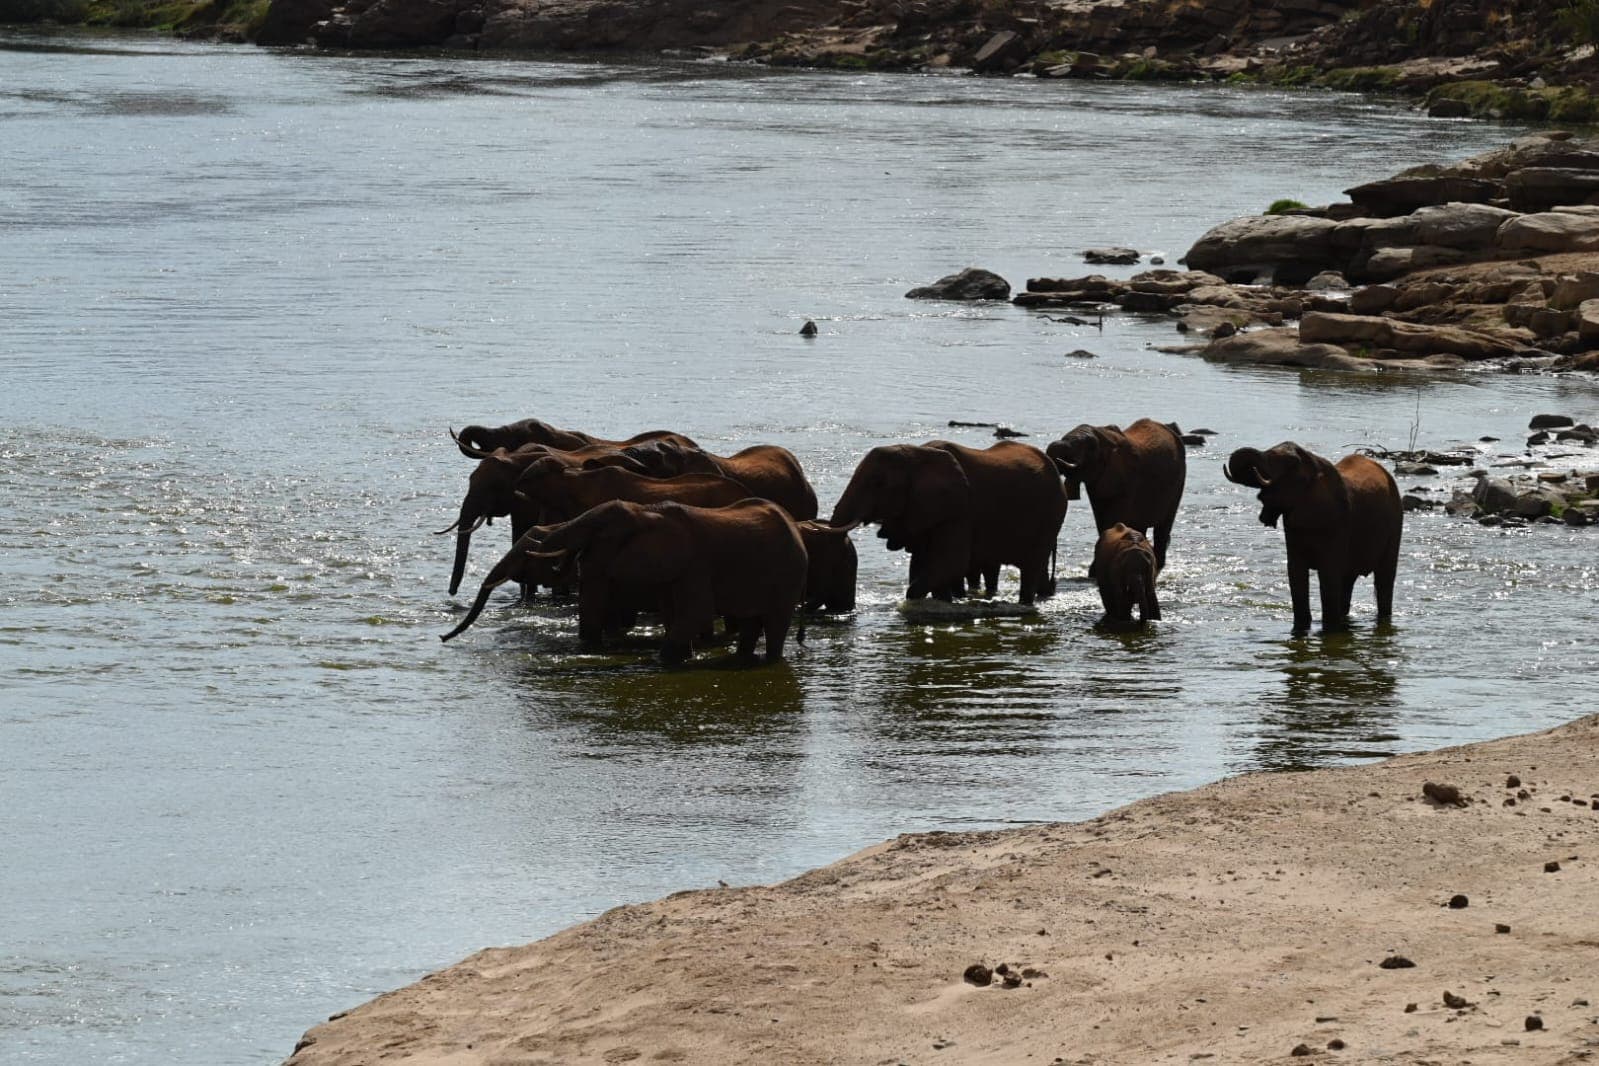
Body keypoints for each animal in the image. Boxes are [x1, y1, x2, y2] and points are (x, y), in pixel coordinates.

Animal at [510, 499, 808, 665]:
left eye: (601, 532)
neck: (647, 512)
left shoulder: (696, 562)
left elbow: (696, 611)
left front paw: (659, 661)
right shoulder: (673, 566)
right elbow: (671, 611)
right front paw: (684, 657)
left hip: (790, 573)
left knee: (776, 622)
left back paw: (770, 660)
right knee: (750, 621)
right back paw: (742, 659)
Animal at [829, 440, 1066, 606]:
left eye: (878, 483)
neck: (918, 454)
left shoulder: (960, 509)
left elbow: (951, 562)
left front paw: (915, 600)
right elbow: (923, 563)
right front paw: (942, 600)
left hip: (1052, 514)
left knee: (1031, 567)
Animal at [1045, 418, 1186, 572]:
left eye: (1091, 447)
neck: (1104, 436)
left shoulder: (1127, 478)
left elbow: (1113, 517)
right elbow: (1100, 518)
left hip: (1179, 481)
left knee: (1164, 526)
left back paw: (1158, 564)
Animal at [1223, 442, 1401, 634]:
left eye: (1291, 462)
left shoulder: (1337, 524)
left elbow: (1329, 574)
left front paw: (1330, 630)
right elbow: (1295, 573)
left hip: (1395, 523)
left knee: (1384, 579)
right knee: (1348, 581)